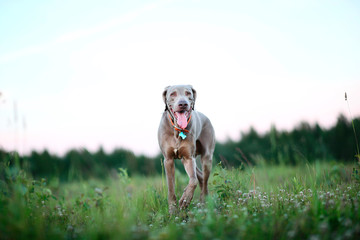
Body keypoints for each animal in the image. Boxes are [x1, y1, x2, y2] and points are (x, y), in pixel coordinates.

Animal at [157, 85, 214, 214]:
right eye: (172, 94)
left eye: (188, 93)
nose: (183, 104)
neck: (177, 130)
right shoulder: (168, 160)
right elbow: (171, 187)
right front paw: (173, 210)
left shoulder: (189, 158)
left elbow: (193, 180)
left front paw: (185, 200)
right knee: (201, 176)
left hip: (207, 157)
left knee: (204, 179)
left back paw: (204, 203)